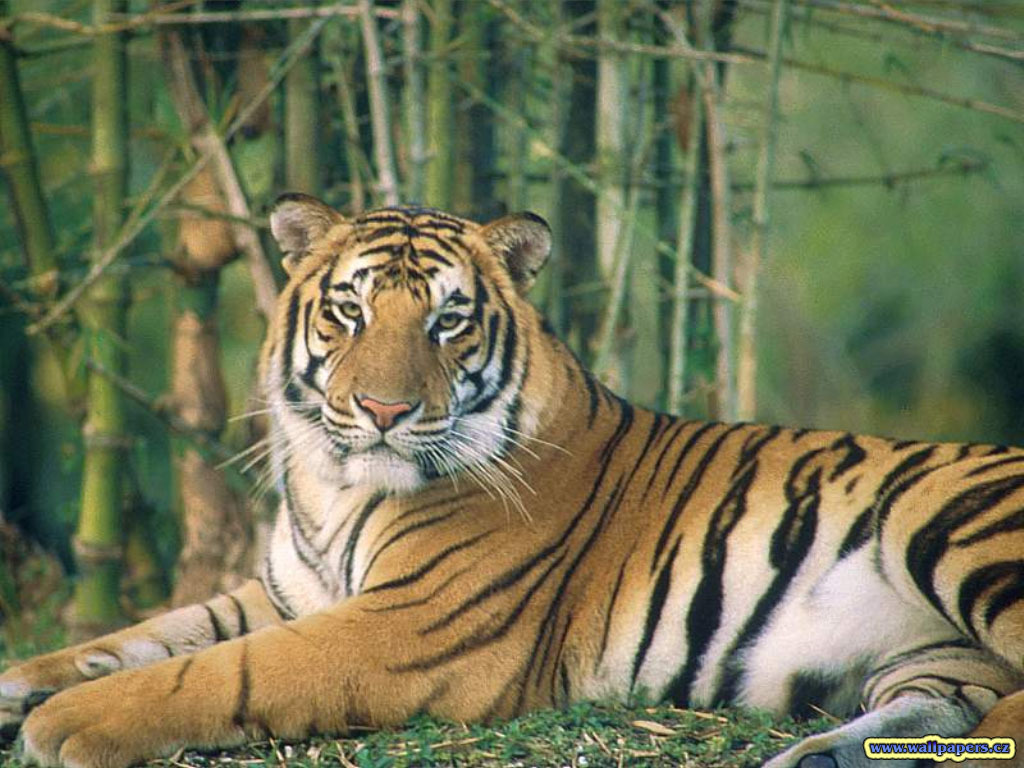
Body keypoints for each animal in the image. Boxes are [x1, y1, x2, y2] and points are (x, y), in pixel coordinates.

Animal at [2, 193, 1023, 768]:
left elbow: (216, 670)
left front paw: (63, 724)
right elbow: (153, 633)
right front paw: (24, 682)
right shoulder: (286, 591)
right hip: (932, 655)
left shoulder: (410, 625)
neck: (335, 487)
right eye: (349, 310)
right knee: (949, 705)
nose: (382, 409)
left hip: (956, 531)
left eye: (447, 322)